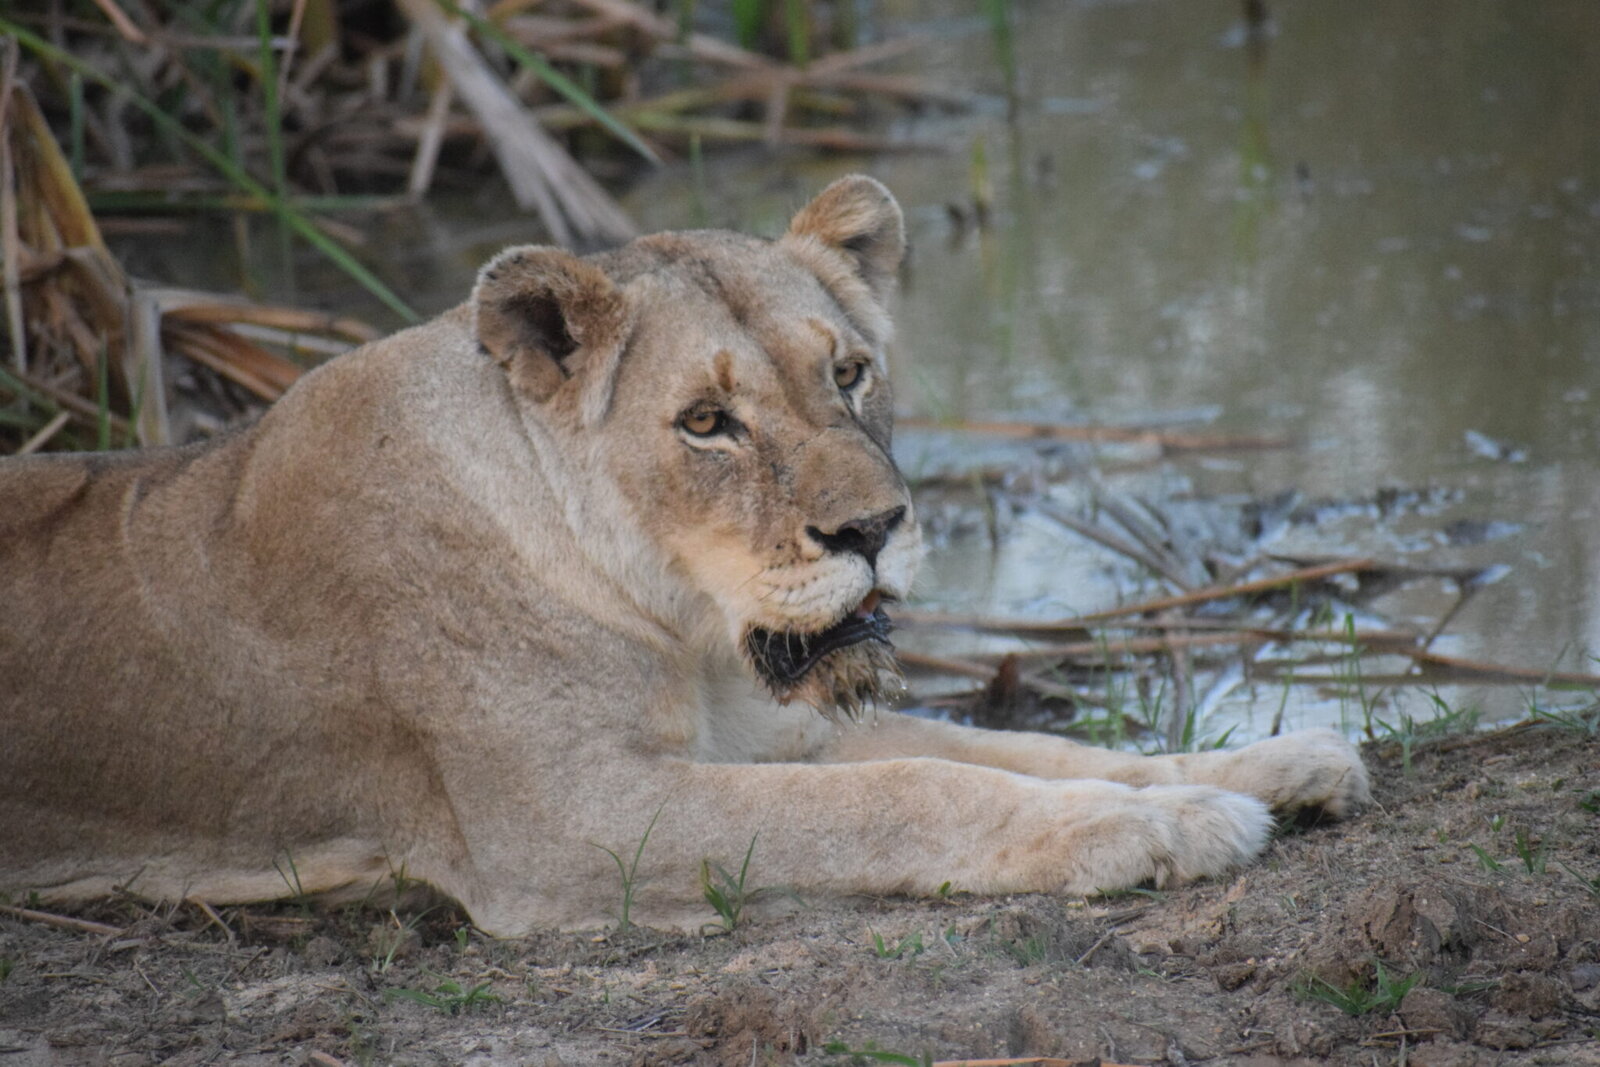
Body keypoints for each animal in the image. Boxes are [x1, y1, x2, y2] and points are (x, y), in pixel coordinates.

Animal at [0, 176, 1368, 935]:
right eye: (706, 422)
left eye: (849, 372)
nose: (875, 530)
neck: (686, 630)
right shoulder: (566, 825)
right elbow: (913, 791)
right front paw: (1148, 834)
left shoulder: (762, 724)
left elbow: (1025, 747)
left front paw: (1254, 771)